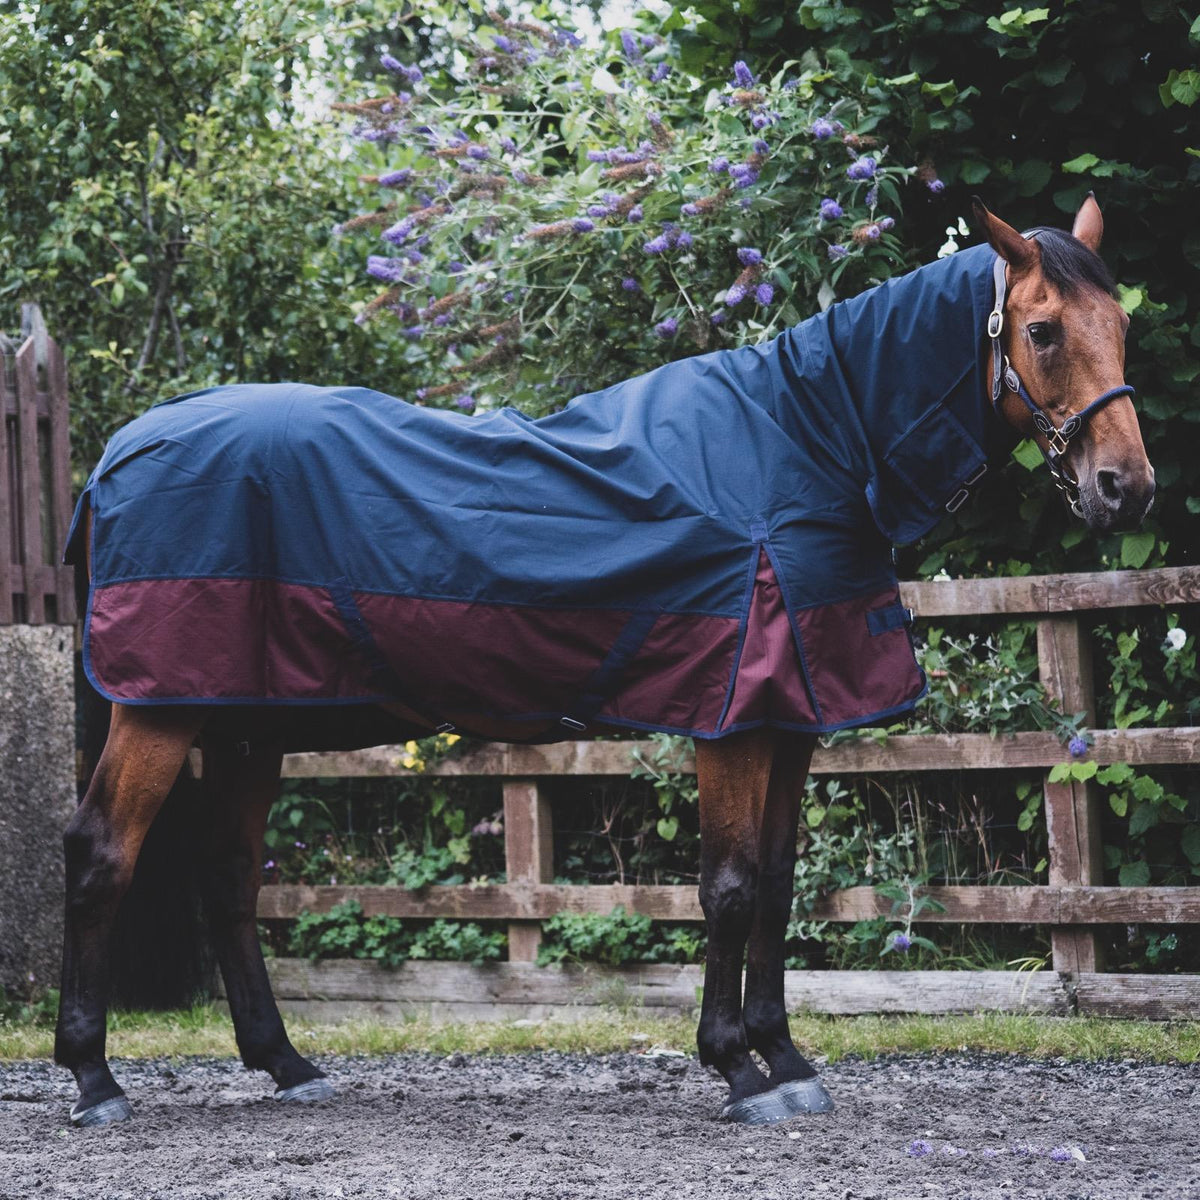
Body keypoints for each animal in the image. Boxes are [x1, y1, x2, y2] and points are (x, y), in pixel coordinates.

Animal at [55, 197, 1154, 1127]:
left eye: (1121, 322)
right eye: (1043, 332)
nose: (1126, 488)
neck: (804, 444)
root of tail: (117, 455)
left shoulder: (789, 718)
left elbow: (779, 884)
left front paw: (786, 1059)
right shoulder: (731, 720)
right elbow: (730, 886)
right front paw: (737, 1068)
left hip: (249, 720)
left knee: (228, 877)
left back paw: (286, 1064)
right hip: (161, 712)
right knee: (102, 853)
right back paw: (95, 1078)